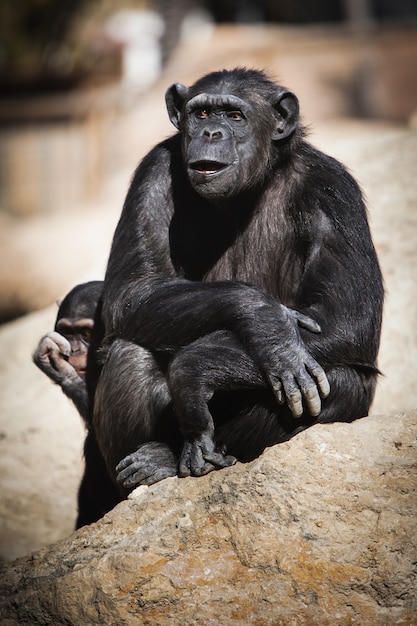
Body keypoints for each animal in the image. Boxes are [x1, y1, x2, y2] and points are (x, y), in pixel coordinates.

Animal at [85, 68, 384, 516]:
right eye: (202, 112)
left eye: (235, 116)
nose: (210, 132)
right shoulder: (154, 170)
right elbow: (134, 289)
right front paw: (267, 324)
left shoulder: (334, 191)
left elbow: (346, 318)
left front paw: (197, 368)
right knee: (129, 351)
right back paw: (150, 467)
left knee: (343, 381)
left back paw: (173, 457)